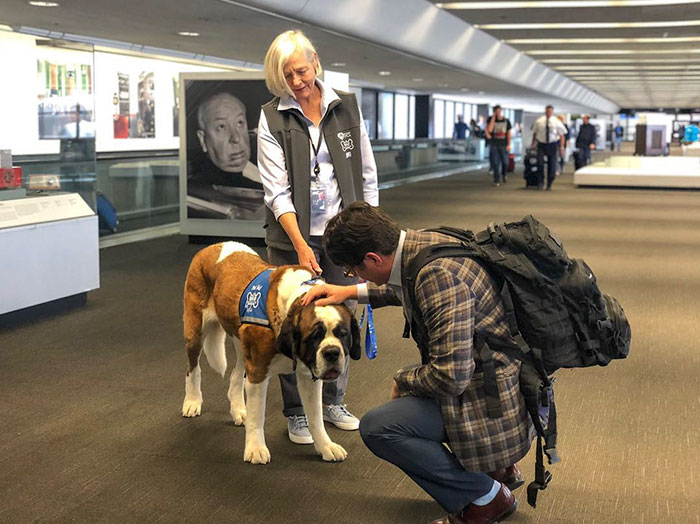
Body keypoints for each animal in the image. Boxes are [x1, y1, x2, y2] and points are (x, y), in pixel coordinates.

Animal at [180, 239, 360, 464]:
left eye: (343, 334)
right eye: (314, 336)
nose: (332, 353)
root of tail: (214, 245)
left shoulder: (309, 377)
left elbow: (316, 417)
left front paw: (326, 446)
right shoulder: (258, 373)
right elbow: (258, 415)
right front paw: (256, 449)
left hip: (241, 342)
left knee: (235, 376)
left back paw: (238, 410)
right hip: (195, 329)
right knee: (193, 368)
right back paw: (192, 401)